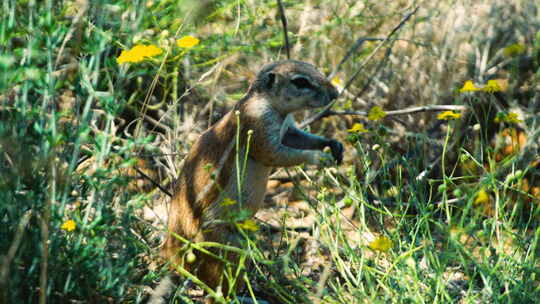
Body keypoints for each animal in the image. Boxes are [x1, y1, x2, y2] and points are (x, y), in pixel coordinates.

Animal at [157, 60, 342, 302]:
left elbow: (298, 138)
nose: (335, 93)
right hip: (224, 244)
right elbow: (276, 154)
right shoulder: (259, 126)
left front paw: (332, 144)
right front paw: (318, 157)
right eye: (300, 81)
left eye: (314, 68)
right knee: (217, 286)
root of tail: (173, 250)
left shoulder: (288, 129)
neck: (270, 105)